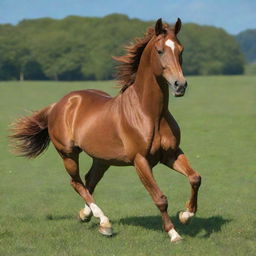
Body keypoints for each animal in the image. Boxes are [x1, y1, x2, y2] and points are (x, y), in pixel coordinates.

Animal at [10, 18, 201, 242]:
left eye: (181, 50)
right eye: (160, 50)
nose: (180, 85)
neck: (150, 113)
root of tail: (58, 104)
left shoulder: (171, 154)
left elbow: (195, 178)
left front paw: (186, 215)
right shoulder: (141, 160)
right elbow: (160, 198)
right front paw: (174, 233)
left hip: (102, 159)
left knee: (89, 181)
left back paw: (87, 216)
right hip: (68, 154)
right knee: (76, 183)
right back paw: (105, 223)